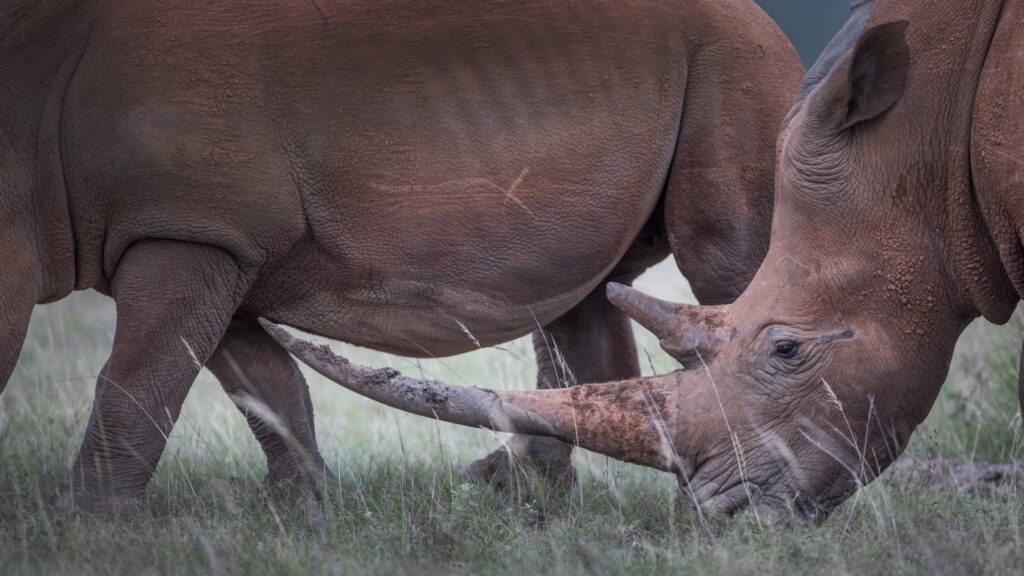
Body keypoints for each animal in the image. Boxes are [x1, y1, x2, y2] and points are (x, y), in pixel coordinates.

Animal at [0, 1, 801, 510]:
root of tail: (769, 27)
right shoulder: (211, 237)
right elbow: (250, 375)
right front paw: (300, 507)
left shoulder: (189, 229)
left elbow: (141, 376)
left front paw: (87, 522)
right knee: (584, 292)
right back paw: (509, 494)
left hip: (732, 61)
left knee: (729, 261)